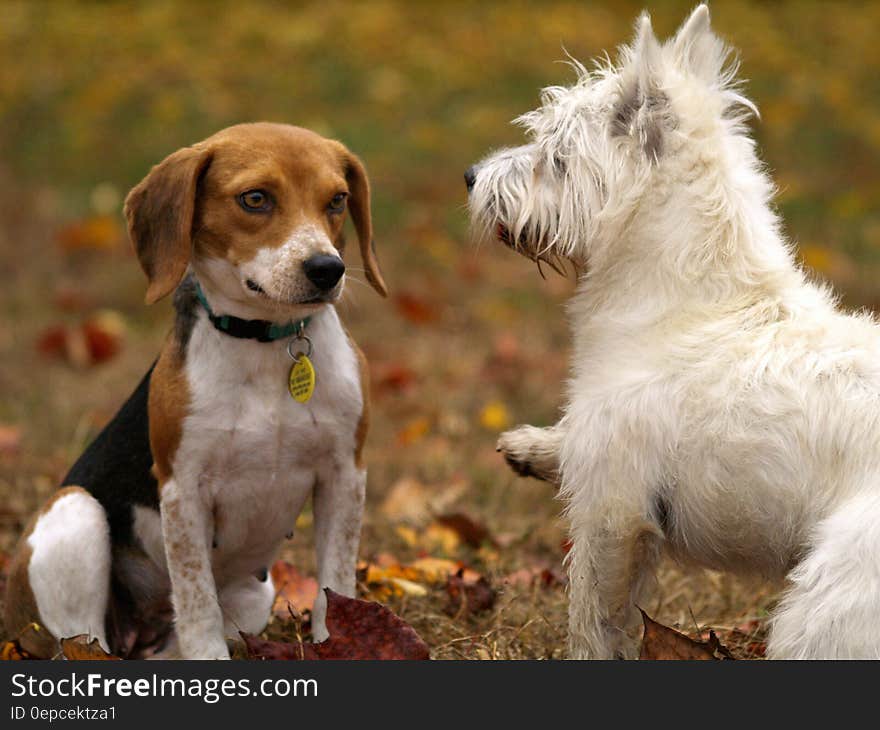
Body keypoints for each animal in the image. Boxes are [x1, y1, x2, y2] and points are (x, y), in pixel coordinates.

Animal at [3, 122, 386, 656]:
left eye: (337, 200)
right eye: (254, 198)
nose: (327, 269)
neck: (266, 344)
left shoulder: (345, 474)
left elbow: (335, 584)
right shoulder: (183, 490)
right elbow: (197, 599)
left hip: (256, 595)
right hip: (75, 514)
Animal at [468, 2, 880, 656]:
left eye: (555, 156)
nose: (470, 176)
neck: (696, 304)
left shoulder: (614, 510)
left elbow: (592, 617)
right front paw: (533, 446)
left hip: (825, 603)